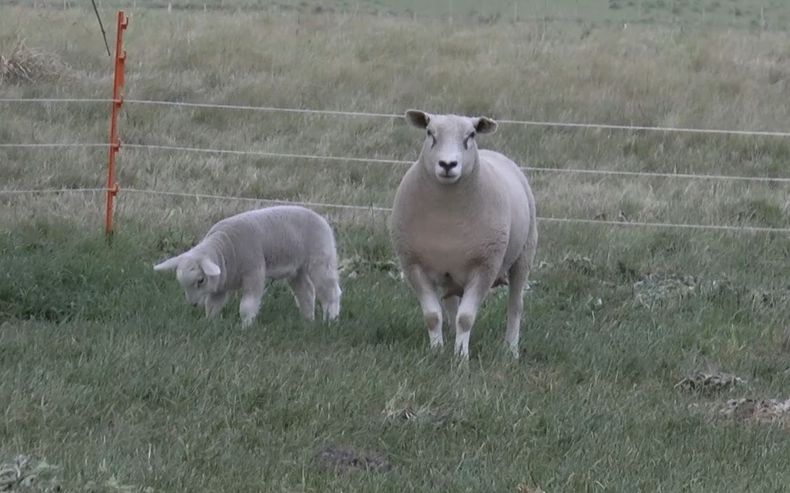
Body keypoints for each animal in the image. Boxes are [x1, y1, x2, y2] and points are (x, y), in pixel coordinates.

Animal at [153, 205, 342, 328]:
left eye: (200, 280)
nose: (192, 304)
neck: (223, 249)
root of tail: (321, 218)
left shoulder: (254, 272)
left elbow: (247, 305)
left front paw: (246, 326)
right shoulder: (221, 284)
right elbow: (212, 304)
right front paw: (209, 322)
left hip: (321, 257)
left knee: (331, 290)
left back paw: (331, 319)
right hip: (297, 269)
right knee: (306, 291)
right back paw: (308, 320)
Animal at [390, 110, 538, 359]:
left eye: (471, 135)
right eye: (430, 133)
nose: (448, 164)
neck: (448, 215)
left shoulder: (485, 266)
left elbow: (466, 318)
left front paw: (460, 357)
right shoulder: (413, 265)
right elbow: (432, 316)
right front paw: (437, 352)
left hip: (524, 255)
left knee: (516, 306)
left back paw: (511, 350)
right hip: (449, 272)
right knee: (450, 304)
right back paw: (450, 337)